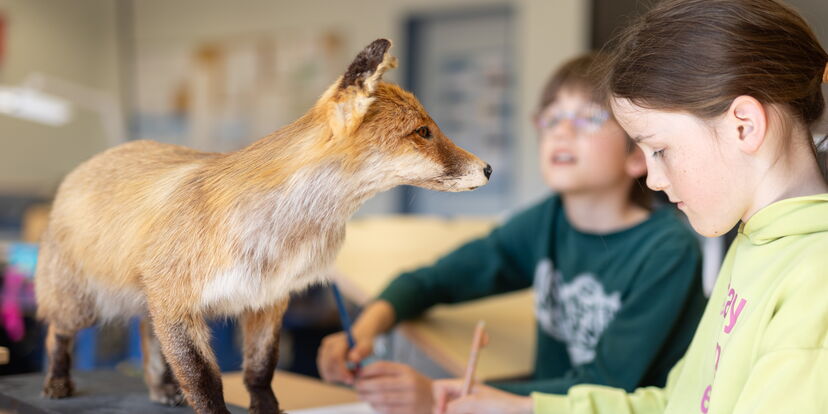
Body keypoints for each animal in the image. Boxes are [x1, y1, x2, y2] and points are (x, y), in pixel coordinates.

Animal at [34, 38, 491, 414]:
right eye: (423, 131)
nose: (488, 168)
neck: (283, 234)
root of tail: (89, 164)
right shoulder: (179, 300)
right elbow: (204, 380)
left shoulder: (266, 299)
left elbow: (259, 370)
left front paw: (266, 407)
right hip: (86, 305)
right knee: (56, 333)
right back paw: (57, 381)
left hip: (148, 301)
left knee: (148, 337)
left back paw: (160, 389)